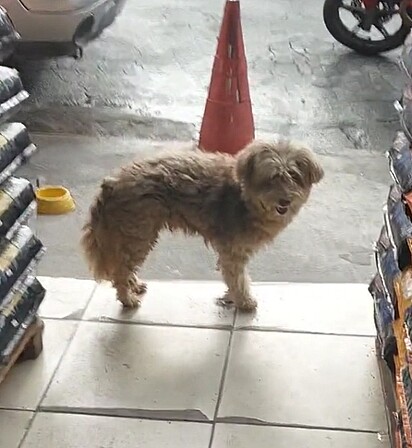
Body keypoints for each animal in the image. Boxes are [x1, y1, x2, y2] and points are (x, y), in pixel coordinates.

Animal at [82, 140, 324, 312]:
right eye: (272, 178)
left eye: (294, 175)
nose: (285, 201)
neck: (245, 197)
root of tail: (112, 182)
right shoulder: (233, 252)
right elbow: (237, 278)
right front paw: (243, 301)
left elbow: (233, 278)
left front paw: (231, 297)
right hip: (139, 234)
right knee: (121, 271)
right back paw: (127, 298)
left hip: (133, 235)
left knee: (124, 266)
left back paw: (134, 285)